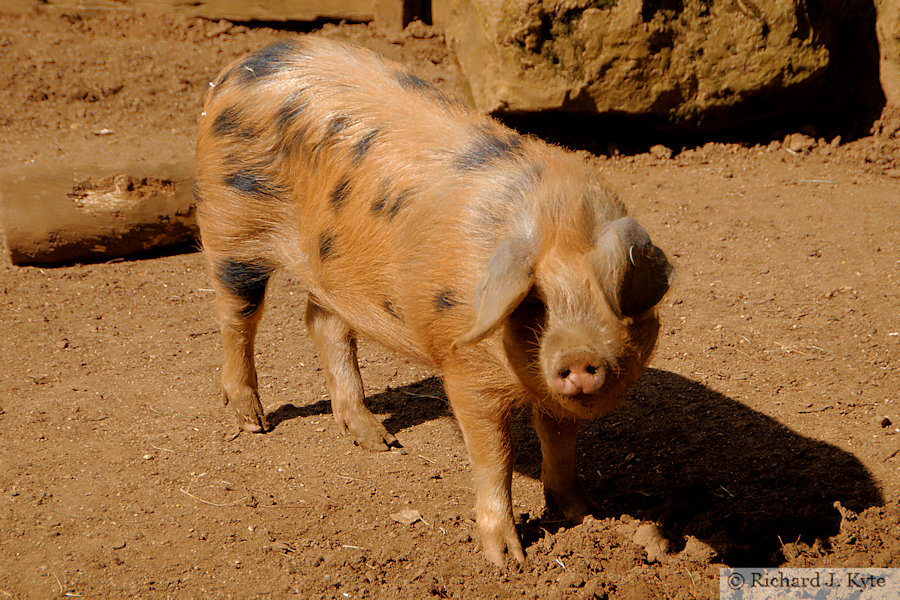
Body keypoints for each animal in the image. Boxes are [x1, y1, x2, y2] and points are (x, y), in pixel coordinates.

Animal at [197, 37, 676, 568]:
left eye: (611, 294)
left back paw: (379, 442)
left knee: (323, 322)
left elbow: (560, 444)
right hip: (229, 223)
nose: (579, 356)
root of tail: (242, 66)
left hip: (333, 268)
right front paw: (508, 560)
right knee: (236, 318)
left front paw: (582, 513)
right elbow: (496, 455)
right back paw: (254, 422)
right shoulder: (462, 367)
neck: (558, 219)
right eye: (535, 302)